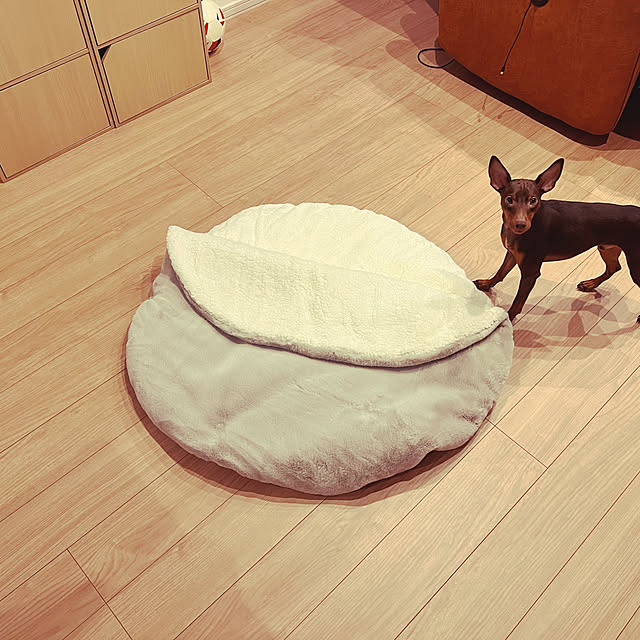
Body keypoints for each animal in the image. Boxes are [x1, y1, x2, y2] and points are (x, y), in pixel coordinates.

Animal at [474, 156, 640, 322]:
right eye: (509, 199)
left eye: (533, 200)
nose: (520, 224)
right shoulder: (512, 253)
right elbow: (501, 272)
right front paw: (487, 284)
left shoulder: (530, 273)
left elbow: (518, 302)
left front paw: (508, 319)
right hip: (607, 248)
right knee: (614, 267)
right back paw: (590, 284)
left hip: (633, 262)